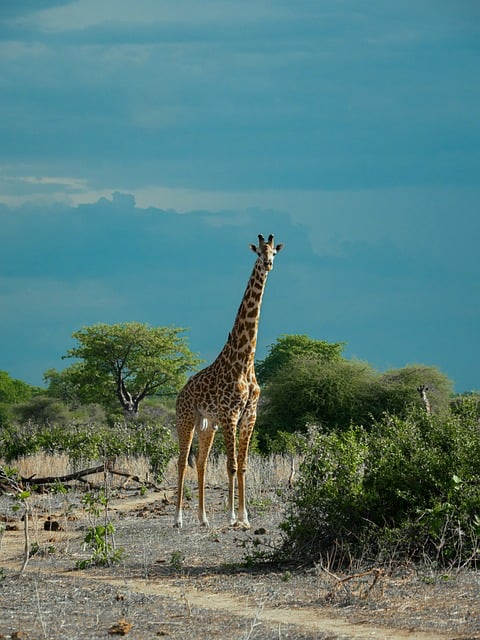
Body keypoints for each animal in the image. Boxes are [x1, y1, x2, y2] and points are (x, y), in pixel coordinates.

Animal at [174, 233, 284, 529]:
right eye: (258, 252)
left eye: (274, 253)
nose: (268, 264)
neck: (245, 360)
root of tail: (180, 392)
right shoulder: (229, 415)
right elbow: (231, 466)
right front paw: (232, 516)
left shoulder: (249, 415)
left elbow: (243, 465)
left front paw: (245, 517)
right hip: (186, 419)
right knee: (181, 461)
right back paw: (177, 519)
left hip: (206, 424)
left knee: (200, 462)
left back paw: (202, 519)